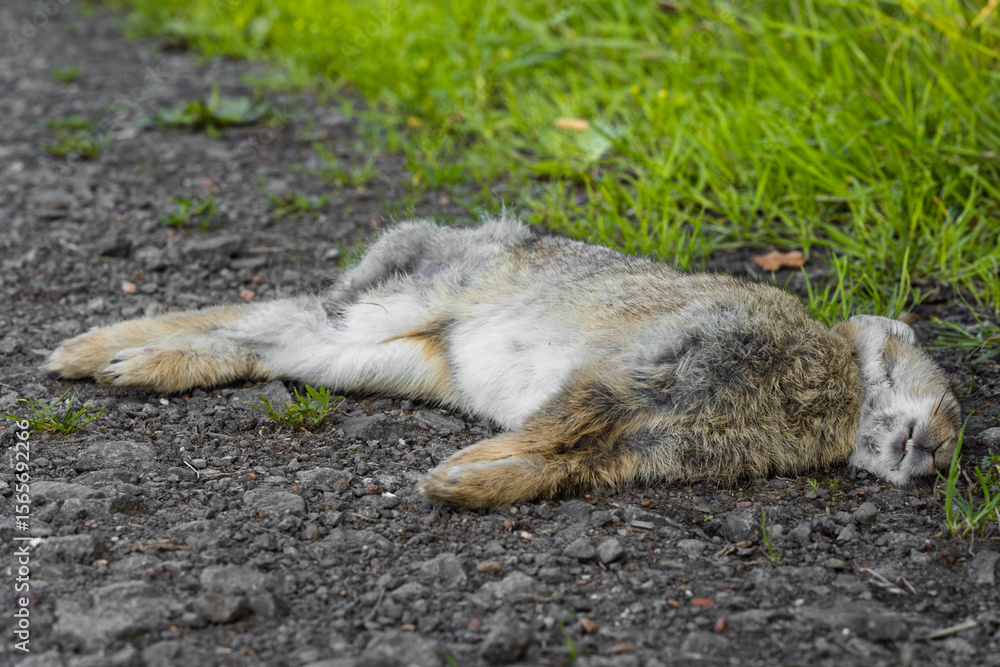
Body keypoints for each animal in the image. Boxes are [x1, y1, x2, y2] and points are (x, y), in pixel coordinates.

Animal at [45, 215, 962, 508]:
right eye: (911, 368)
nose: (945, 448)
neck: (835, 392)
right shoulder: (653, 367)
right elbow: (570, 418)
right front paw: (460, 469)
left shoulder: (653, 439)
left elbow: (567, 460)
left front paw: (464, 483)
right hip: (405, 303)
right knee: (261, 314)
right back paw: (89, 352)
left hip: (367, 355)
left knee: (265, 337)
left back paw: (123, 363)